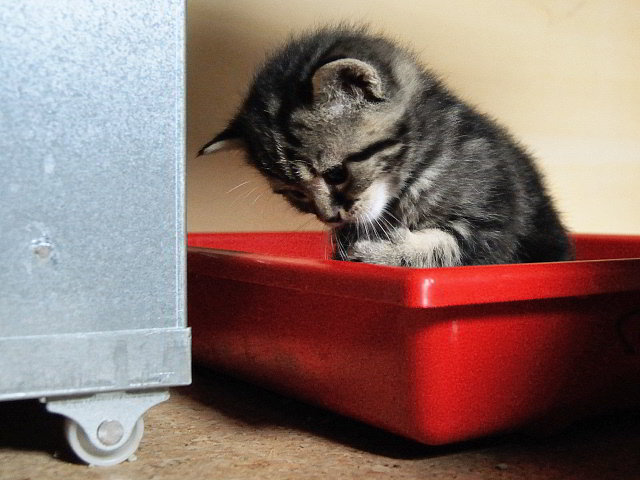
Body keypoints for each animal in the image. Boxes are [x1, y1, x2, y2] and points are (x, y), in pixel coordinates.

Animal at [199, 26, 573, 267]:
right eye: (296, 195)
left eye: (336, 174)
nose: (330, 217)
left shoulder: (495, 220)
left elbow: (448, 249)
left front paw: (382, 252)